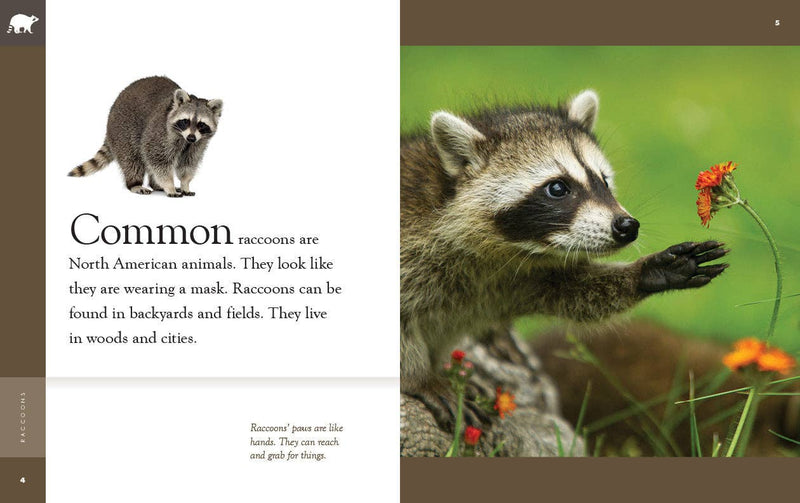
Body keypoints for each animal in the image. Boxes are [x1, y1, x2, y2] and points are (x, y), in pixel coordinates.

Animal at [68, 76, 222, 197]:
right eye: (185, 121)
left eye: (201, 124)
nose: (191, 138)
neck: (183, 138)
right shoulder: (160, 133)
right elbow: (158, 159)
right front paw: (169, 185)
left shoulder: (198, 143)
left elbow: (188, 163)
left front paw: (185, 183)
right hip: (122, 130)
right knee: (132, 160)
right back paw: (134, 183)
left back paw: (155, 185)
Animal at [400, 90, 729, 427]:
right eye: (557, 187)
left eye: (604, 181)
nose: (627, 227)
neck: (503, 249)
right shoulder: (411, 248)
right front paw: (420, 378)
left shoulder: (517, 277)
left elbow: (569, 290)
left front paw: (646, 273)